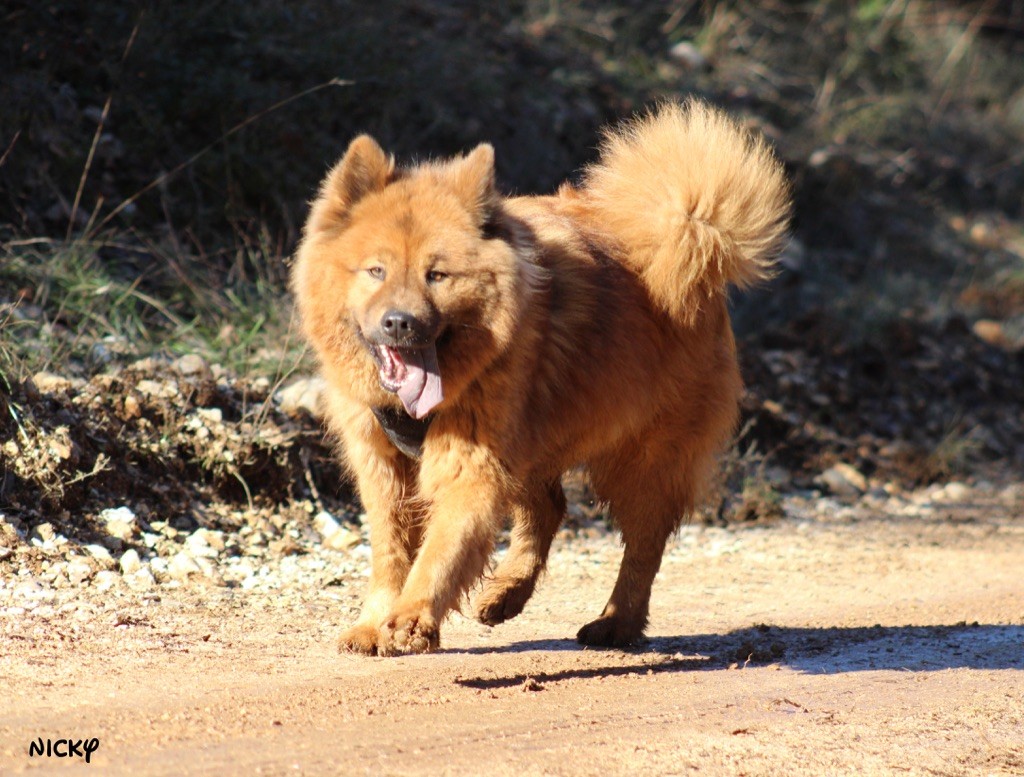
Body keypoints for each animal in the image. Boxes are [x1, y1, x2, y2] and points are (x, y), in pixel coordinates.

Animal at [290, 100, 790, 655]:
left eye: (436, 275)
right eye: (375, 271)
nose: (400, 322)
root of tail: (695, 238)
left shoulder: (471, 464)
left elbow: (442, 549)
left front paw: (413, 617)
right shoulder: (384, 466)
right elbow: (391, 552)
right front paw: (375, 621)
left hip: (644, 458)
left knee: (643, 545)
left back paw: (616, 622)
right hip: (538, 435)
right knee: (550, 508)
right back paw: (506, 594)